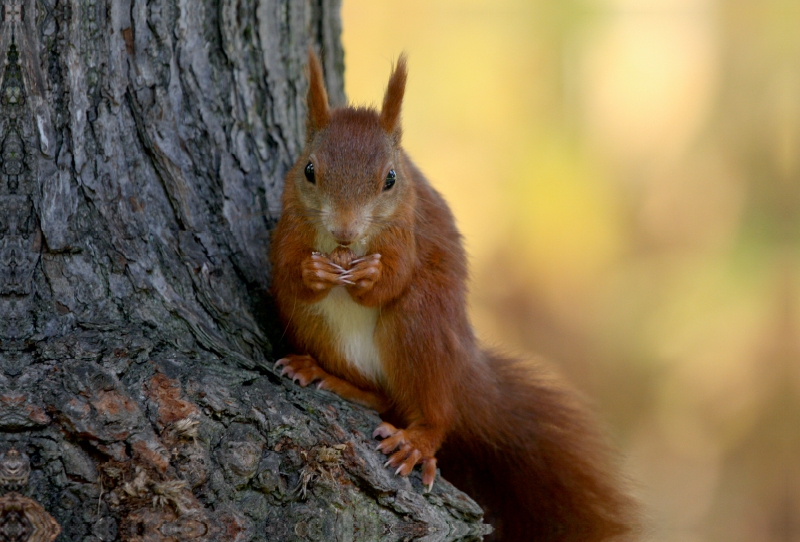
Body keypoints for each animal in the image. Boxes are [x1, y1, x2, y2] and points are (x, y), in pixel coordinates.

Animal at [270, 49, 636, 540]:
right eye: (310, 170)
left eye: (390, 179)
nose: (344, 231)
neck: (346, 250)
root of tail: (461, 369)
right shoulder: (289, 223)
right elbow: (285, 269)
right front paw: (312, 271)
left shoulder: (407, 230)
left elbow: (395, 276)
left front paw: (371, 277)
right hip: (314, 326)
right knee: (383, 398)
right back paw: (322, 374)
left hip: (420, 326)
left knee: (433, 411)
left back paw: (418, 441)